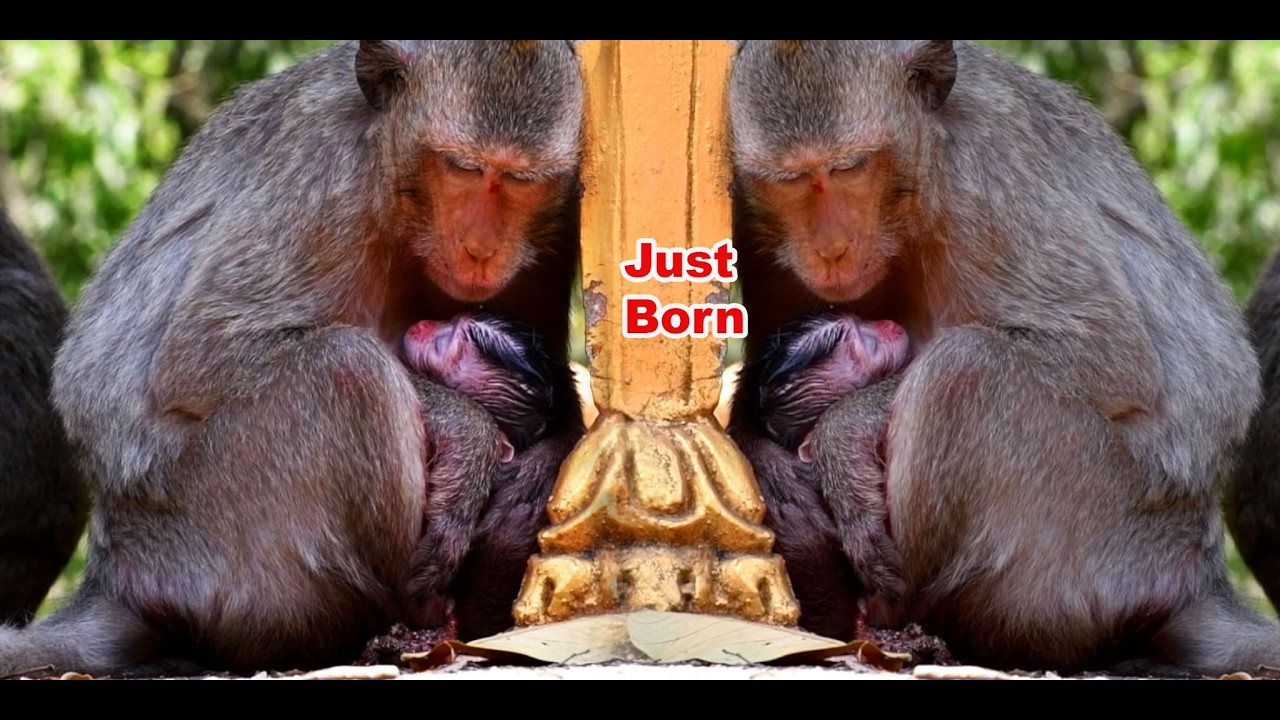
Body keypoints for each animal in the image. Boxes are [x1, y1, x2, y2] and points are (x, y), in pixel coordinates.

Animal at [0, 40, 585, 677]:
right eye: (463, 170)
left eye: (521, 182)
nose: (481, 249)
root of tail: (116, 578)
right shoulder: (324, 179)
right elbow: (200, 353)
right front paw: (470, 432)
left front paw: (532, 476)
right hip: (208, 551)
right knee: (348, 370)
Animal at [726, 40, 1280, 676]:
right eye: (791, 182)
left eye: (848, 169)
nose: (831, 249)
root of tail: (1194, 574)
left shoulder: (986, 179)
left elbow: (1111, 353)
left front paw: (843, 433)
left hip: (1103, 551)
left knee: (964, 369)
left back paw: (895, 620)